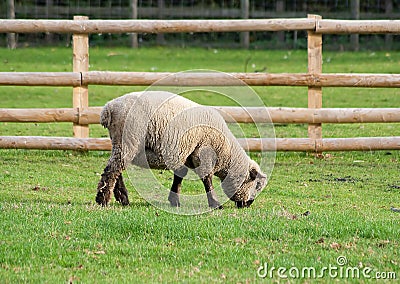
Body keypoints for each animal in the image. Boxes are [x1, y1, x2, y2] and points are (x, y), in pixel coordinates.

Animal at [95, 91, 268, 209]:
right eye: (257, 185)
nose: (248, 204)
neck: (225, 152)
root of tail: (109, 109)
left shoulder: (185, 154)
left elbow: (180, 175)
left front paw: (174, 200)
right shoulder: (202, 153)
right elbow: (207, 178)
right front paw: (215, 203)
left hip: (119, 142)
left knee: (116, 169)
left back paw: (122, 198)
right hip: (129, 139)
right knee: (112, 170)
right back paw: (103, 200)